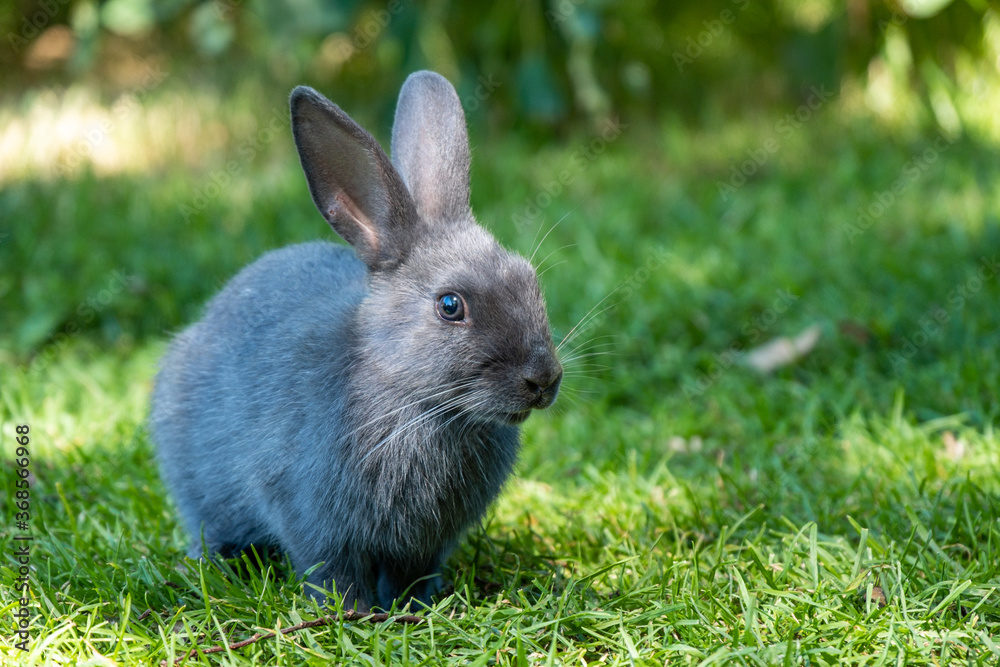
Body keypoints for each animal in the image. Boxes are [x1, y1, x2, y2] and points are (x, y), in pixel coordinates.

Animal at [150, 71, 563, 612]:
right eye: (450, 305)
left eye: (529, 278)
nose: (544, 380)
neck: (415, 401)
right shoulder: (310, 517)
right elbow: (332, 571)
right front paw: (352, 612)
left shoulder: (427, 544)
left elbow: (413, 572)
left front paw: (415, 607)